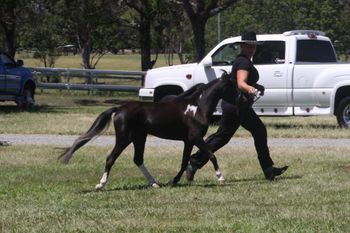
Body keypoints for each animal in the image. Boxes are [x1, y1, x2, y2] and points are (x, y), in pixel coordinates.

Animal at [58, 72, 238, 189]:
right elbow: (211, 155)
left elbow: (184, 161)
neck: (197, 108)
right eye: (231, 86)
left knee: (138, 159)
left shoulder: (188, 141)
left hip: (139, 137)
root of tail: (119, 108)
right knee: (111, 157)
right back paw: (100, 185)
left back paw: (155, 183)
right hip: (124, 138)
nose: (240, 98)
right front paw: (221, 178)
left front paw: (174, 181)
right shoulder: (195, 138)